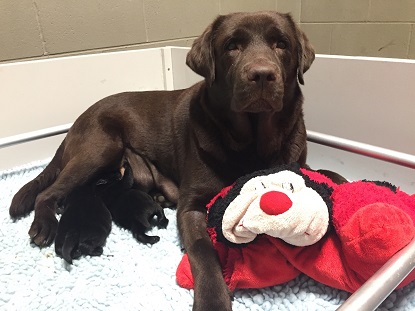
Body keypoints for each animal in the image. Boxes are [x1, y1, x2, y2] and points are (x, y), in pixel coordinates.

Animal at [8, 11, 316, 310]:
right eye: (232, 46)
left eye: (282, 44)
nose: (262, 75)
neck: (251, 144)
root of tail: (77, 121)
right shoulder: (191, 207)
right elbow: (203, 251)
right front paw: (212, 300)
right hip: (100, 148)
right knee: (48, 193)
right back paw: (44, 225)